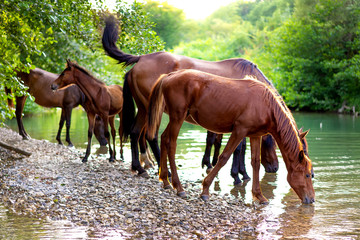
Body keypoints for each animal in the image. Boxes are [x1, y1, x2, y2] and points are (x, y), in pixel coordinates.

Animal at [101, 17, 278, 178]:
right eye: (273, 143)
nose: (275, 168)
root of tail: (141, 58)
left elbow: (220, 142)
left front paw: (227, 169)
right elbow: (238, 147)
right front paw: (238, 175)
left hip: (144, 109)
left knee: (135, 132)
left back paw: (140, 168)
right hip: (153, 109)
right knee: (151, 136)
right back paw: (164, 171)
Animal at [148, 69, 314, 204]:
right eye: (307, 175)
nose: (311, 199)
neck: (266, 105)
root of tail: (169, 75)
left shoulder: (255, 135)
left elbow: (255, 162)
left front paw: (259, 196)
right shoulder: (240, 131)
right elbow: (224, 157)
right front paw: (205, 189)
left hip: (175, 118)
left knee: (164, 138)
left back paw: (166, 181)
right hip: (178, 117)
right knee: (171, 143)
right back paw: (179, 187)